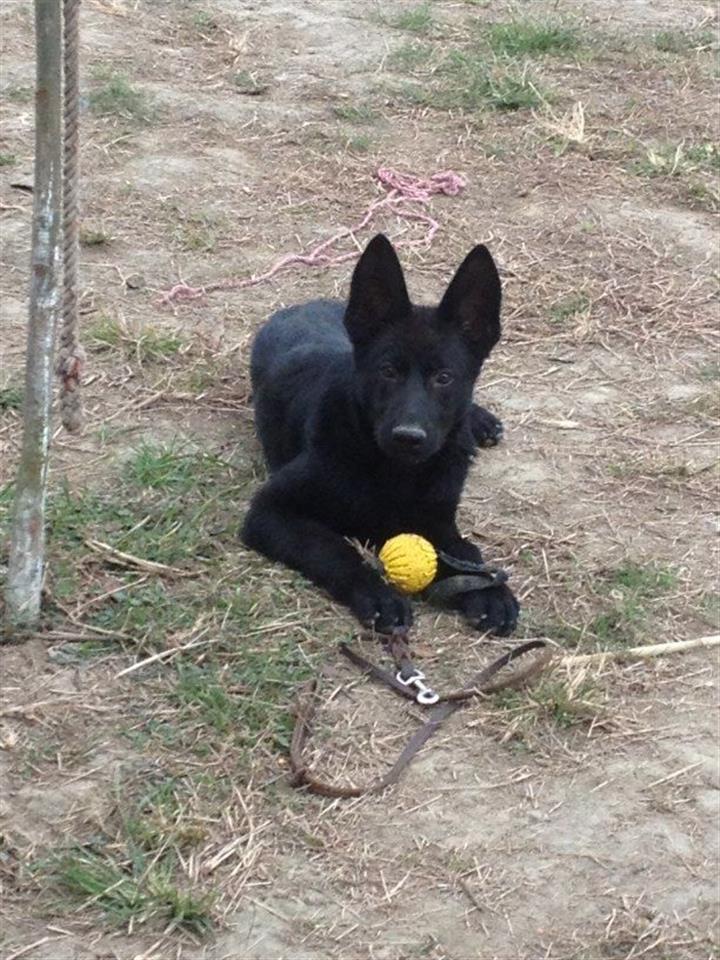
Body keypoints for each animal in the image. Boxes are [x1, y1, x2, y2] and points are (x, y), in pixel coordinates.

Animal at [242, 234, 516, 636]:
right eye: (387, 371)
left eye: (444, 378)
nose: (408, 437)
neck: (394, 472)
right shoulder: (271, 510)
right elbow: (332, 549)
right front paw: (378, 594)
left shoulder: (439, 522)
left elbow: (467, 552)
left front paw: (490, 592)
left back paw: (478, 421)